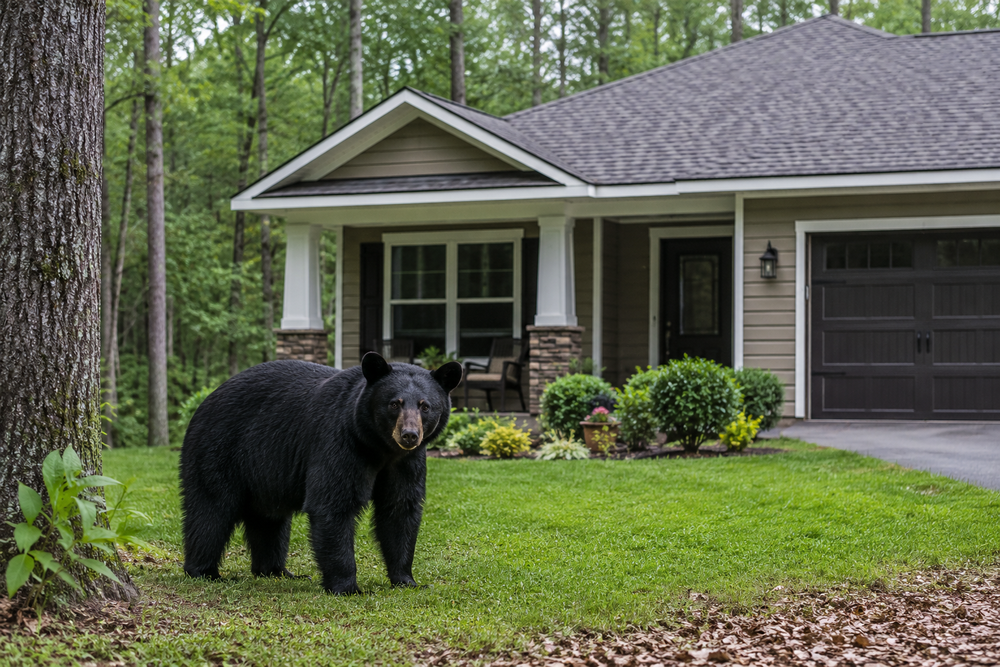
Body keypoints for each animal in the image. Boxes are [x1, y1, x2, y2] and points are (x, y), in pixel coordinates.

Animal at [179, 352, 463, 594]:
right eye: (395, 403)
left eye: (425, 406)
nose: (409, 435)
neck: (380, 448)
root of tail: (204, 401)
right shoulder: (339, 442)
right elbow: (332, 504)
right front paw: (348, 587)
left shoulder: (406, 463)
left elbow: (400, 510)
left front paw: (407, 580)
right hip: (218, 450)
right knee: (211, 510)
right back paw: (205, 571)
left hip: (264, 474)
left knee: (269, 519)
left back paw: (276, 571)